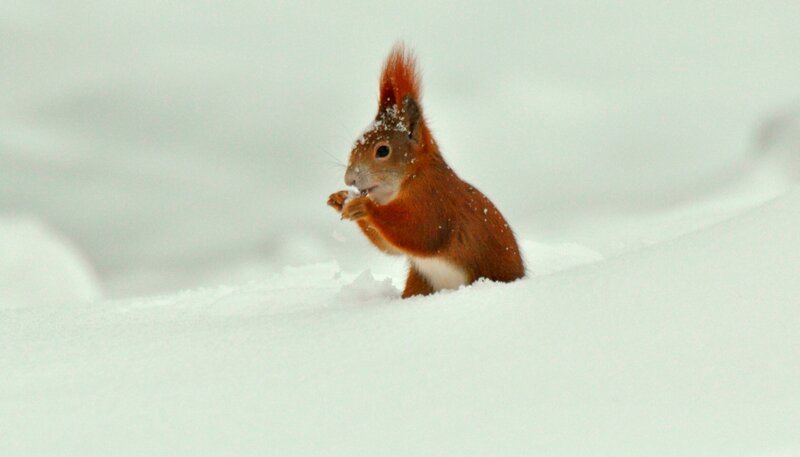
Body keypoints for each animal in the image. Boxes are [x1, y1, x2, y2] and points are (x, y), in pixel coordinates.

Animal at [328, 44, 525, 298]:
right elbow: (390, 247)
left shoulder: (434, 198)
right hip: (420, 281)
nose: (349, 179)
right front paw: (339, 199)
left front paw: (365, 206)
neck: (411, 176)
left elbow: (421, 232)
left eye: (383, 151)